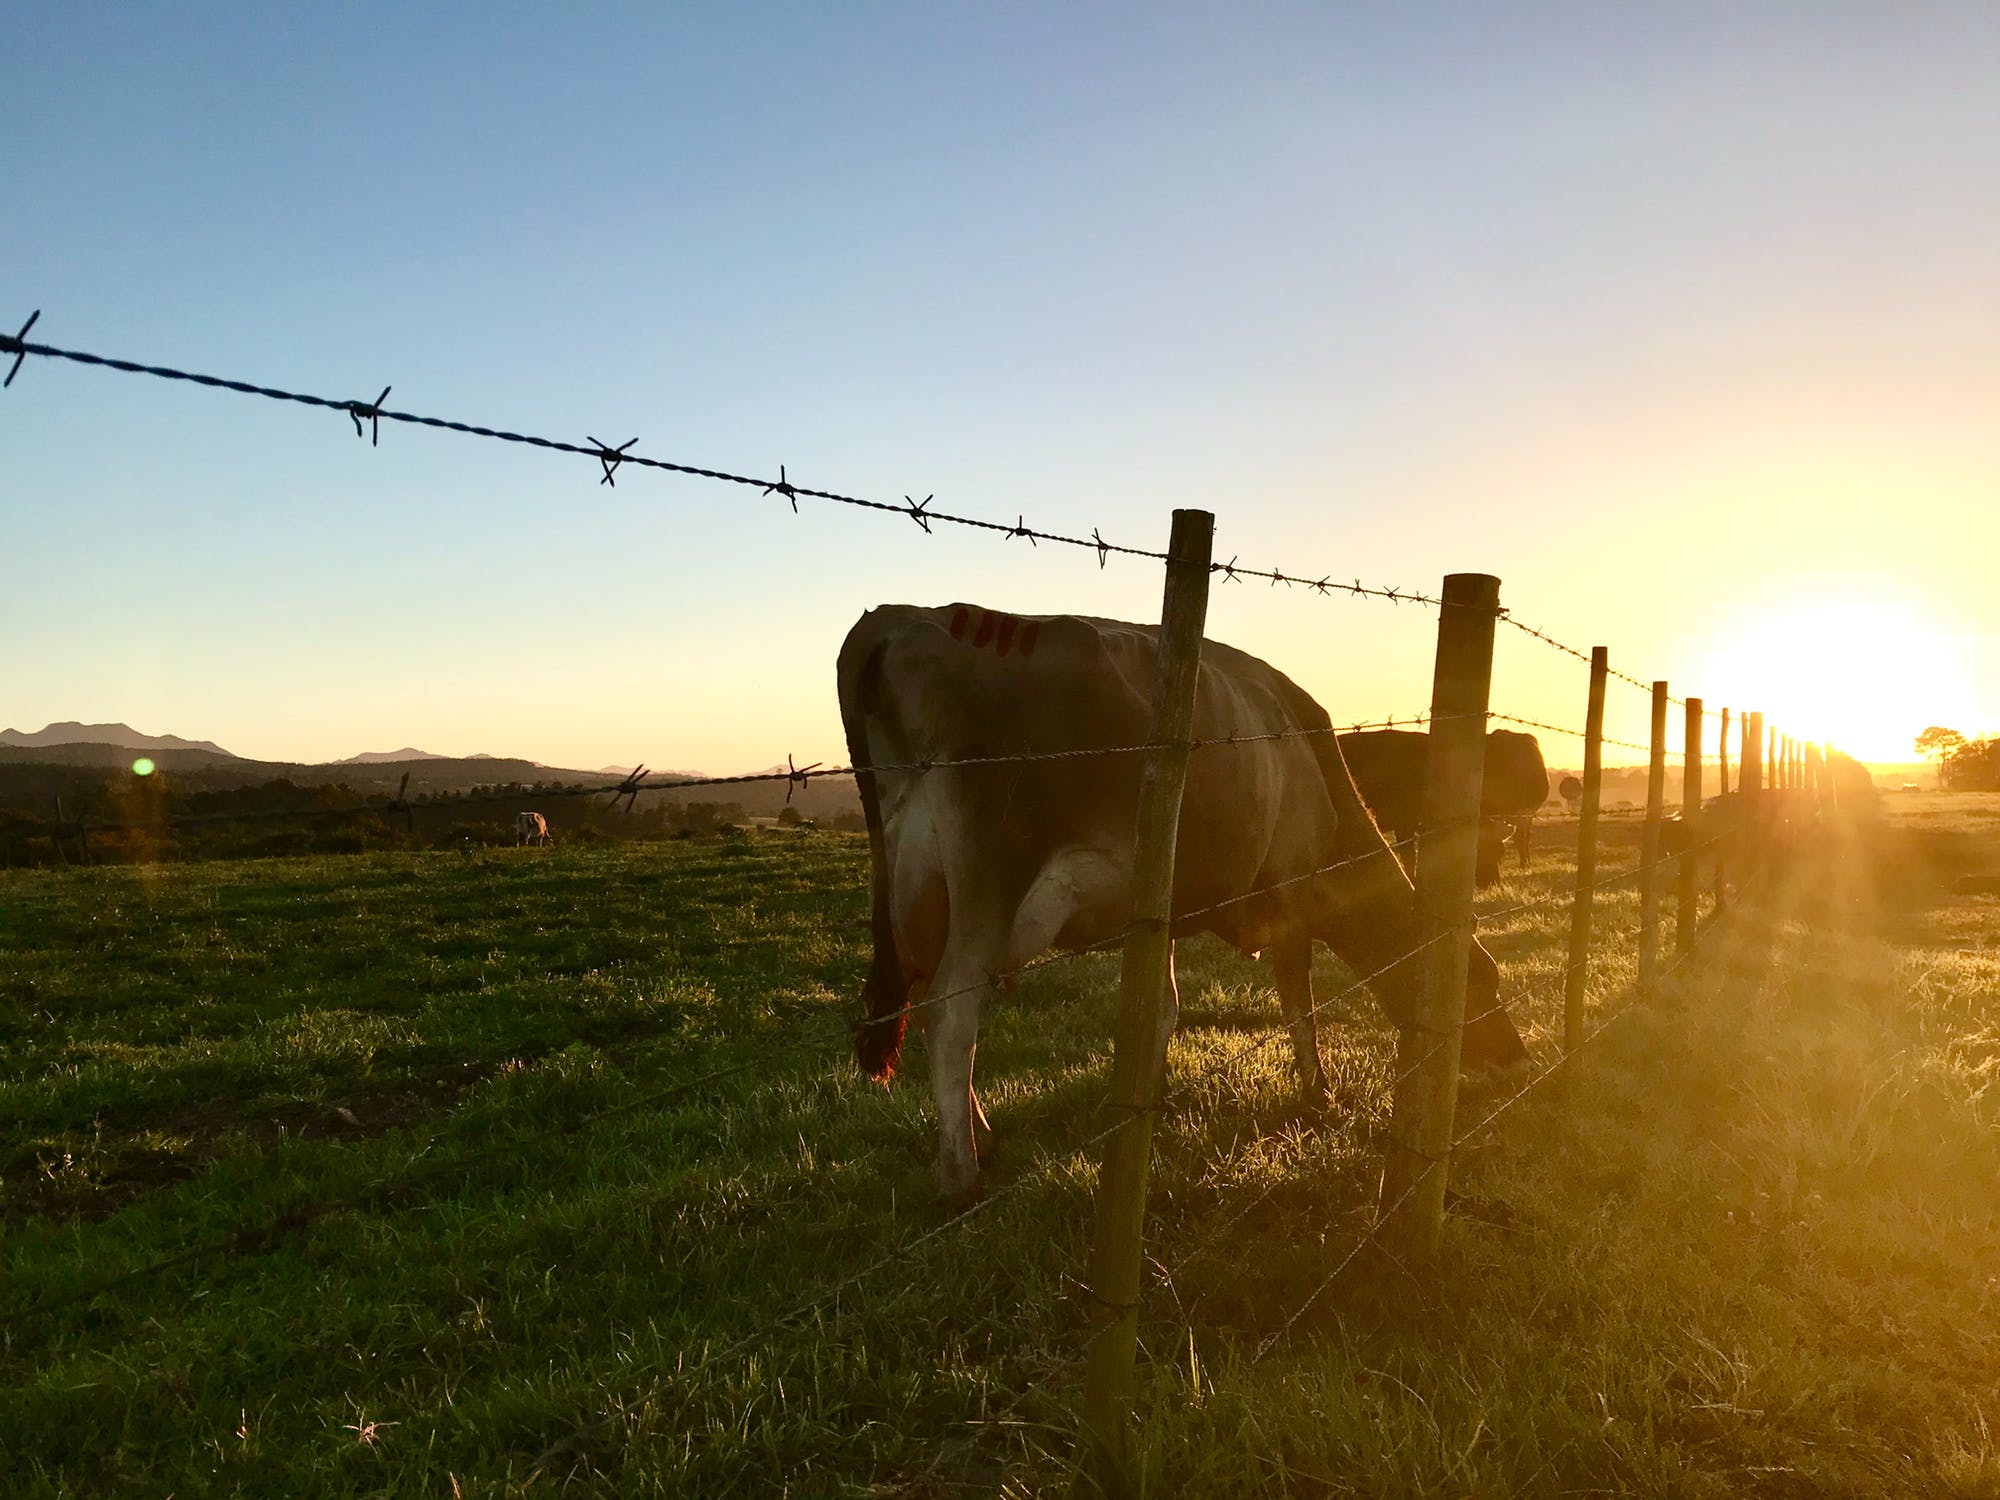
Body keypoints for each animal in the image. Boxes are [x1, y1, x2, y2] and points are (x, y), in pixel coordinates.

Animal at [836, 604, 1520, 1208]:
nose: (1516, 1059)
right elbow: (1299, 1003)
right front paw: (1319, 1094)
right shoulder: (1291, 886)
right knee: (951, 1014)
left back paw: (981, 1135)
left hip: (914, 895)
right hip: (990, 877)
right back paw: (961, 1175)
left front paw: (1152, 1096)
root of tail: (895, 619)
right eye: (1482, 985)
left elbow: (1162, 1009)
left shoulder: (1159, 912)